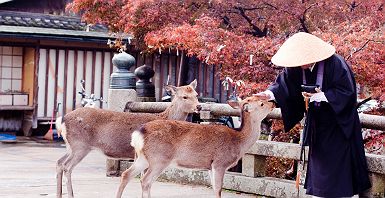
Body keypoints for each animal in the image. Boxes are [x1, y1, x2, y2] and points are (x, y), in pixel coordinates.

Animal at [55, 79, 200, 197]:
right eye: (184, 96)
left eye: (196, 95)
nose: (199, 106)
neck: (164, 116)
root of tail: (62, 120)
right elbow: (144, 179)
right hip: (80, 145)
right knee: (67, 166)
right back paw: (70, 195)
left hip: (71, 146)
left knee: (59, 162)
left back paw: (59, 194)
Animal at [118, 95, 274, 197]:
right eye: (261, 104)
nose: (273, 102)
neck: (239, 141)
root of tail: (138, 134)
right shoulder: (220, 162)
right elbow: (218, 189)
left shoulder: (210, 166)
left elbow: (214, 188)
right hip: (159, 158)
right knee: (145, 180)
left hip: (143, 157)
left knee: (126, 174)